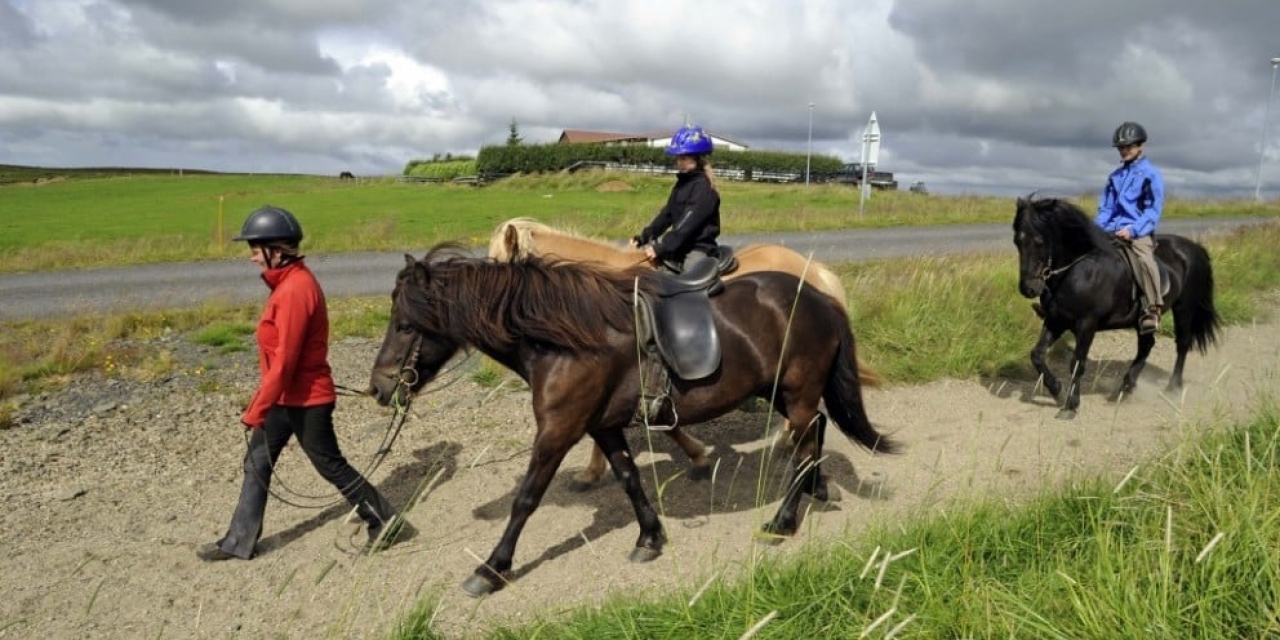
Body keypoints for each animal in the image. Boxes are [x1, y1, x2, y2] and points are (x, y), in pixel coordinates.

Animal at [366, 247, 896, 596]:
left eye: (406, 325)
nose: (378, 388)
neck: (567, 340)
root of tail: (821, 296)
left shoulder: (558, 431)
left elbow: (526, 500)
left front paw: (492, 568)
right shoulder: (602, 426)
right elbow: (628, 477)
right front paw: (650, 537)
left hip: (797, 393)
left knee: (807, 440)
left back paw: (783, 521)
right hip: (780, 392)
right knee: (815, 433)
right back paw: (817, 489)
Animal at [1008, 194, 1218, 419]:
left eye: (1039, 241)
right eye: (1017, 241)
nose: (1028, 288)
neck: (1079, 269)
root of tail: (1192, 247)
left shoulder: (1087, 324)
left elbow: (1077, 363)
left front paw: (1071, 405)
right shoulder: (1056, 320)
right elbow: (1037, 355)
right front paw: (1058, 392)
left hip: (1184, 308)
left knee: (1182, 344)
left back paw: (1171, 387)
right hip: (1142, 320)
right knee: (1146, 346)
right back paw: (1125, 389)